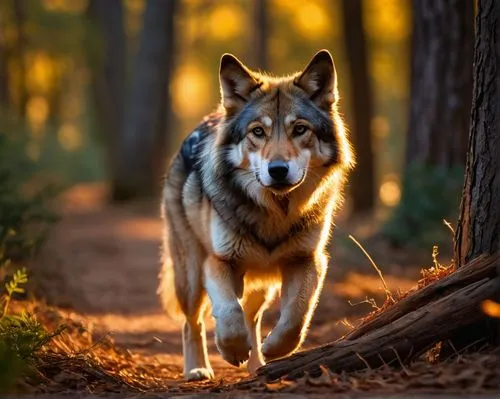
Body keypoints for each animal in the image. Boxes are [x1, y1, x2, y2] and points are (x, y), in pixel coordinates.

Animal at [158, 49, 354, 382]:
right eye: (258, 132)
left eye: (299, 129)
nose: (278, 170)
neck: (274, 213)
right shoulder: (220, 262)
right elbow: (228, 312)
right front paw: (232, 350)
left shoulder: (308, 260)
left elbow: (296, 316)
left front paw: (274, 349)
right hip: (191, 274)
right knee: (192, 321)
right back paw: (197, 368)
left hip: (262, 286)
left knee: (252, 316)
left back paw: (257, 364)